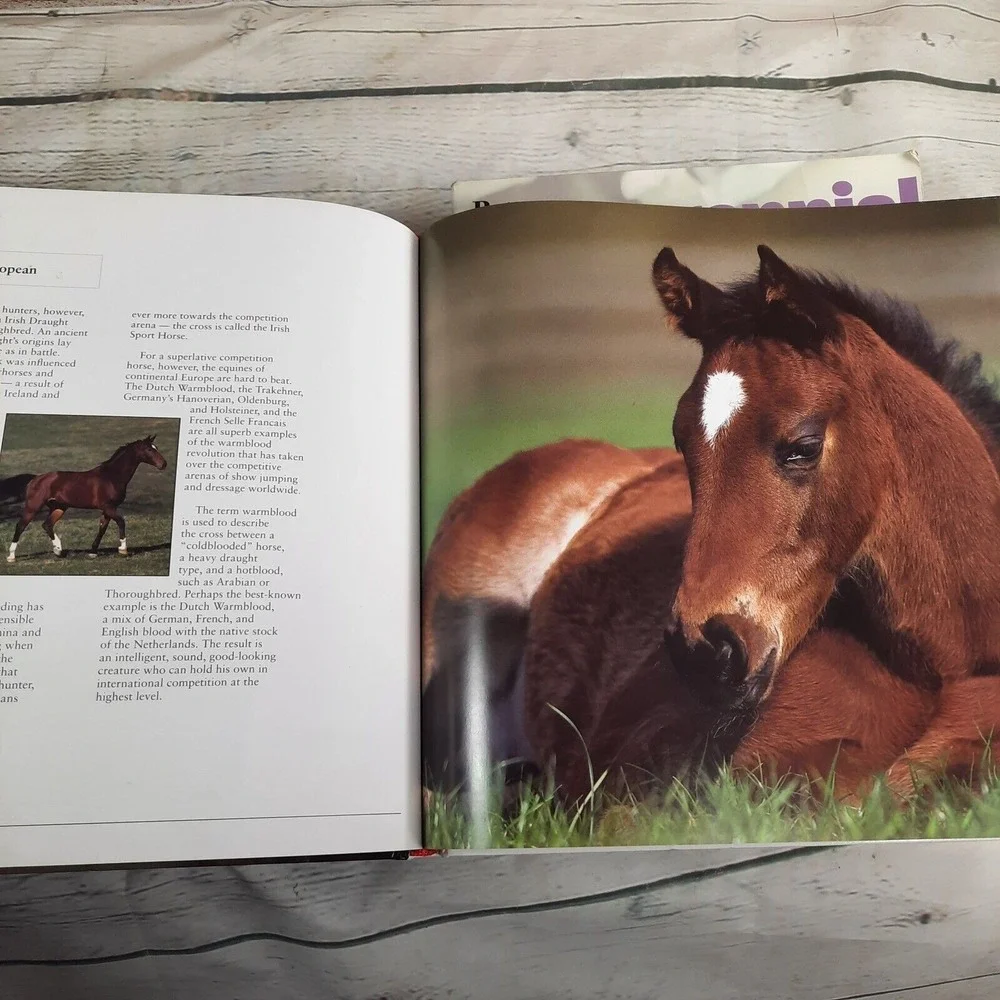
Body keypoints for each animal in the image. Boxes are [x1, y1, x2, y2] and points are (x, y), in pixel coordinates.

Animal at [6, 435, 167, 563]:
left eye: (156, 447)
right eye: (149, 450)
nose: (163, 464)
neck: (111, 477)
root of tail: (34, 480)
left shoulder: (108, 509)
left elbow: (102, 528)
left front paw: (93, 552)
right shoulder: (109, 507)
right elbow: (121, 522)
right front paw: (123, 549)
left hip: (59, 507)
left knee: (47, 524)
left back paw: (58, 550)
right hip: (33, 506)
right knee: (21, 526)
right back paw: (11, 557)